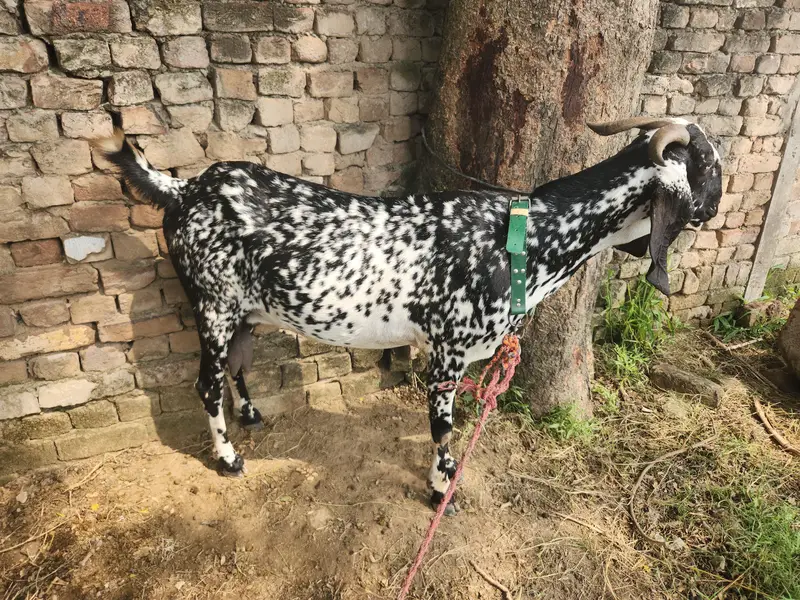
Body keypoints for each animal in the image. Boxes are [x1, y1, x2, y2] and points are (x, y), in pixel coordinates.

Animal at [98, 116, 722, 515]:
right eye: (711, 167)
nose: (717, 206)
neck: (528, 238)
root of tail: (182, 190)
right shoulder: (448, 348)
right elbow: (443, 427)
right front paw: (441, 492)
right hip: (215, 306)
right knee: (204, 382)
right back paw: (228, 459)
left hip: (246, 313)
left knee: (236, 366)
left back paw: (250, 417)